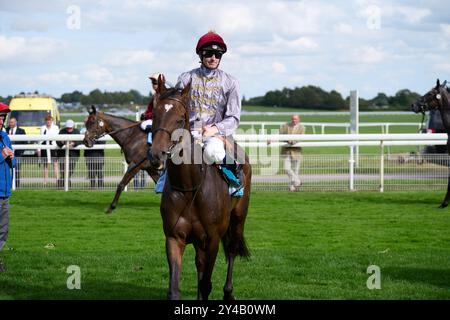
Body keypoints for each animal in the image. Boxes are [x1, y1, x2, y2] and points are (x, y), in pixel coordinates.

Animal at [149, 79, 251, 300]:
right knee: (200, 264)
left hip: (238, 218)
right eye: (154, 116)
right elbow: (175, 288)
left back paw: (228, 292)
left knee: (231, 250)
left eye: (179, 120)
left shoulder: (212, 239)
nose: (156, 156)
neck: (189, 188)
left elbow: (206, 284)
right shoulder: (174, 237)